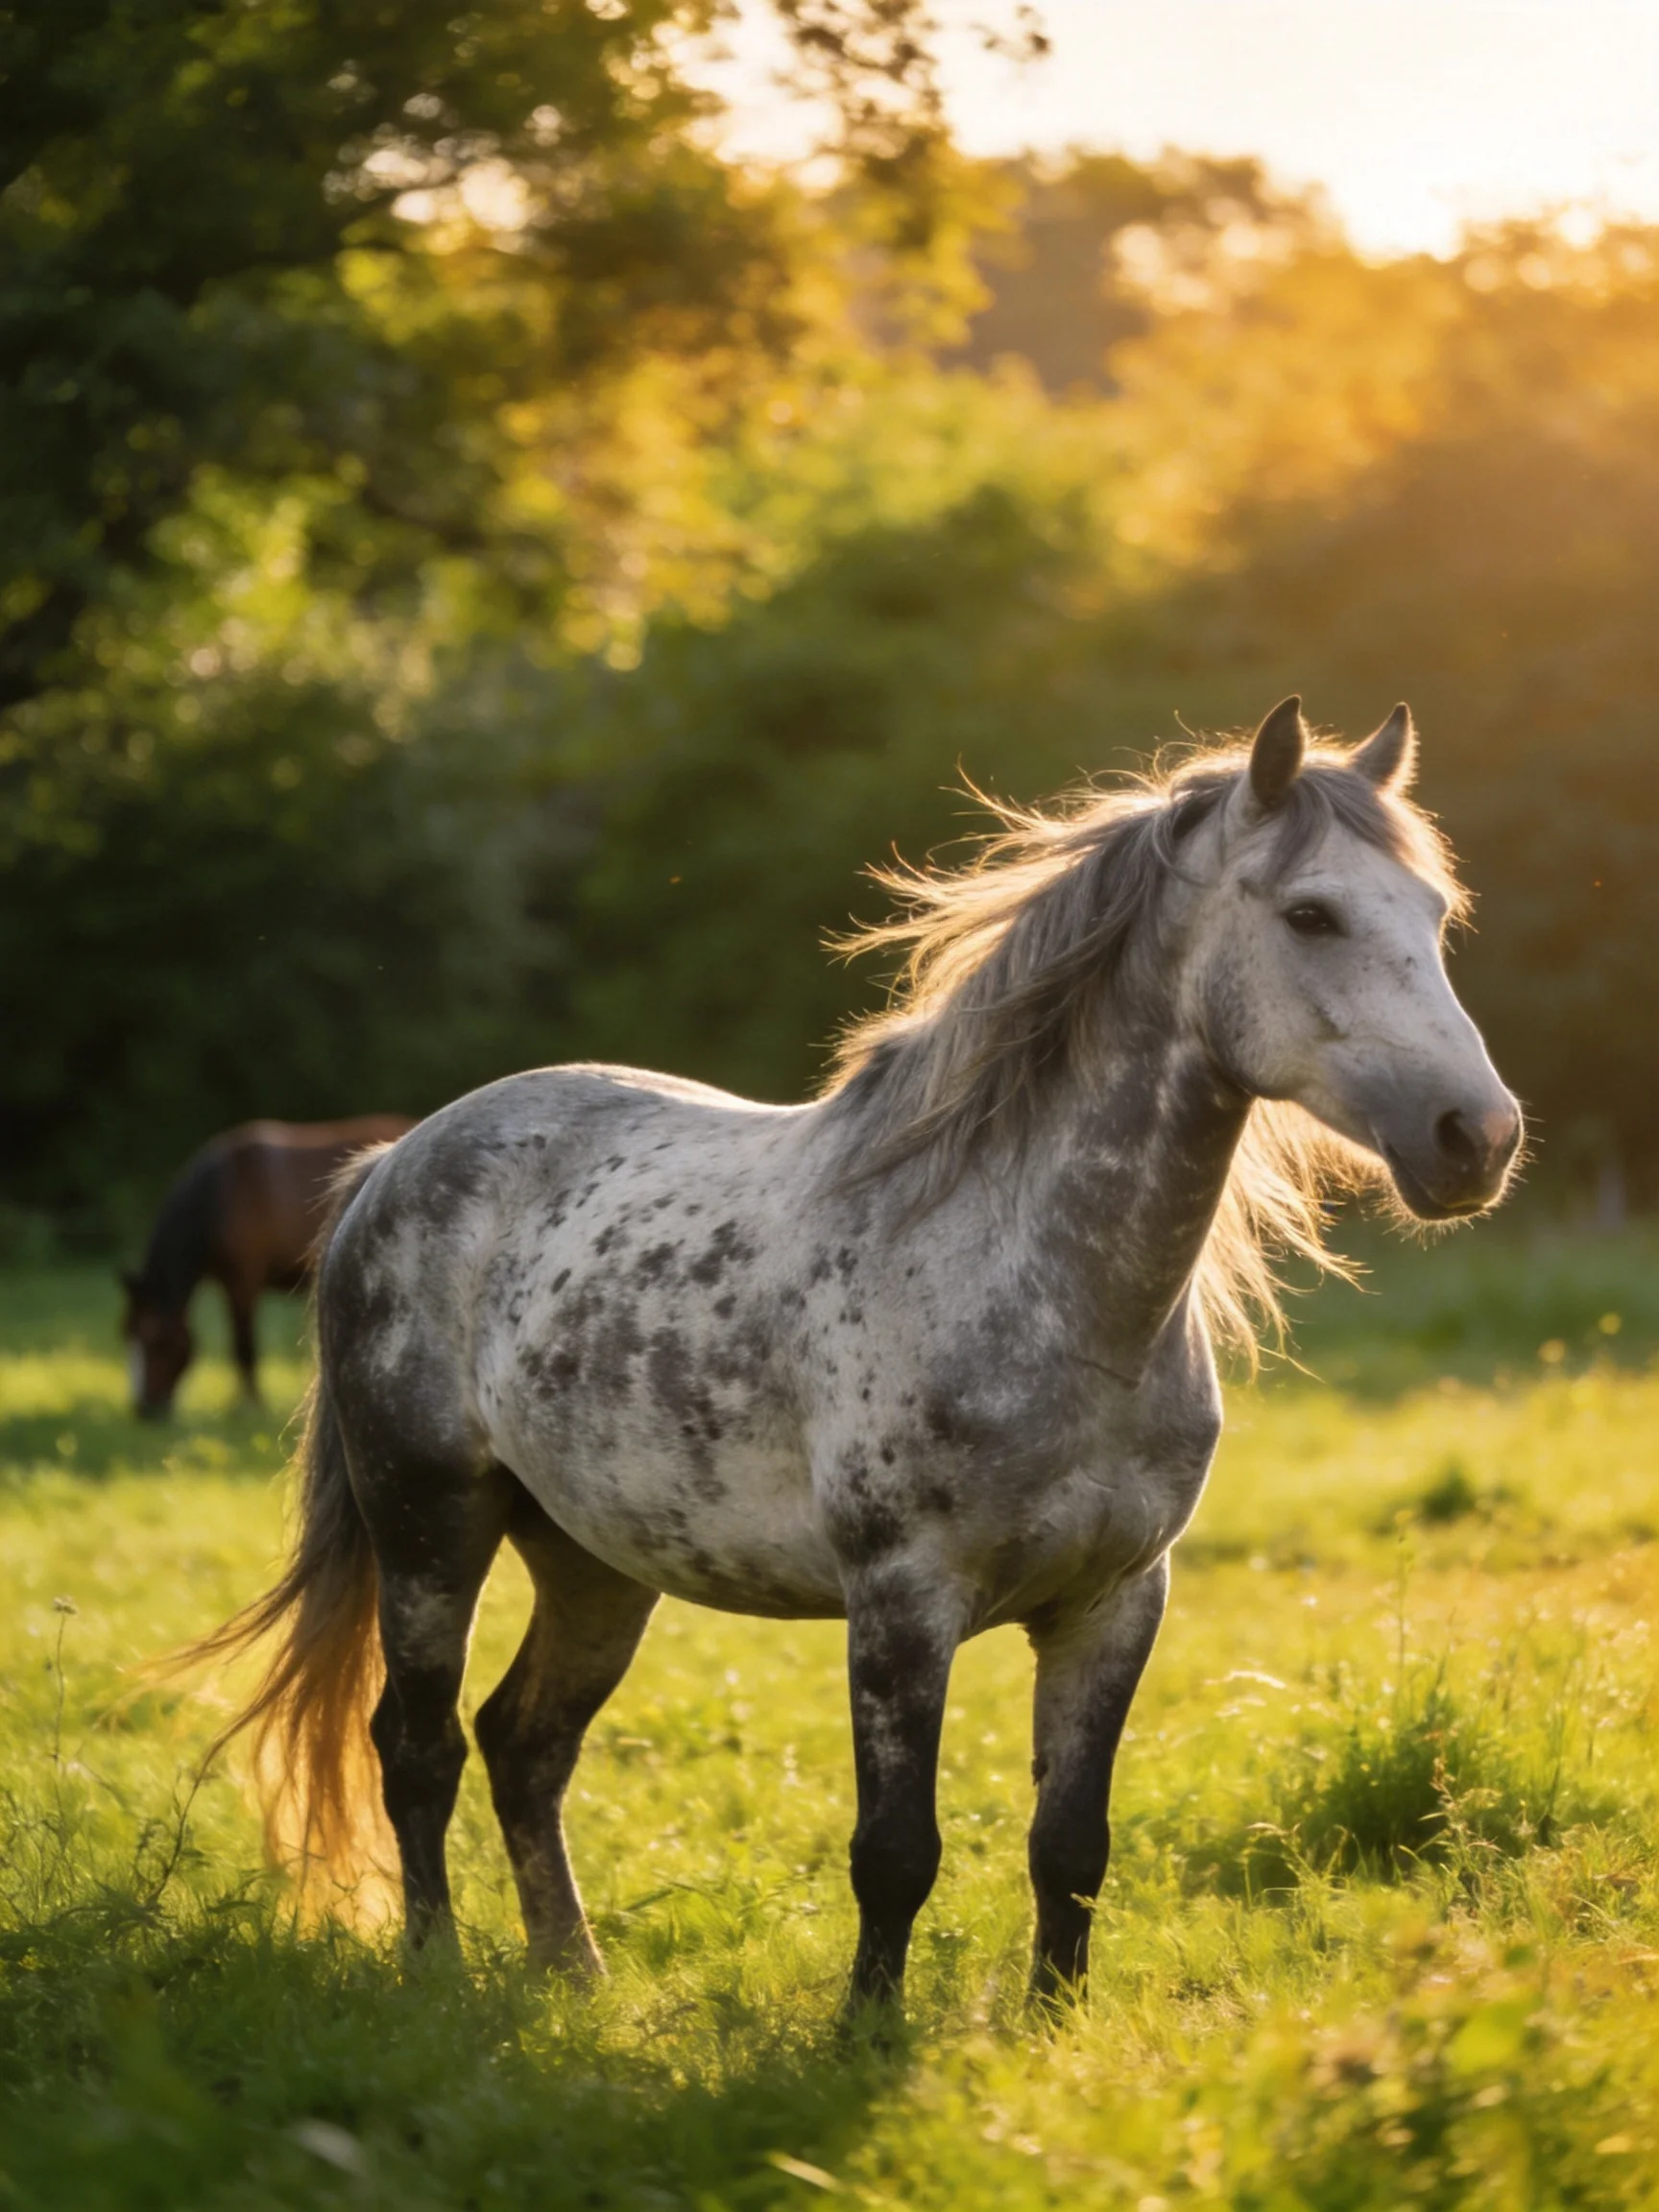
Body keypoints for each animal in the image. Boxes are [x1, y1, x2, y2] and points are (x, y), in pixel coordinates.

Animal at [120, 1116, 415, 1418]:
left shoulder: (243, 1281)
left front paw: (251, 1404)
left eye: (155, 1342)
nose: (144, 1409)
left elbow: (244, 1346)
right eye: (127, 1334)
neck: (222, 1196)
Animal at [194, 699, 1521, 2014]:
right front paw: (866, 2034)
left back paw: (573, 1976)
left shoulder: (1115, 1603)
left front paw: (1052, 2023)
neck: (1039, 1292)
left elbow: (1070, 1847)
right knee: (415, 1748)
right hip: (431, 1525)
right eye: (1311, 914)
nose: (1479, 1138)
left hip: (593, 1560)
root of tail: (394, 1162)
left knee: (526, 1745)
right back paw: (438, 1972)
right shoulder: (901, 1604)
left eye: (1436, 916)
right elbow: (895, 1851)